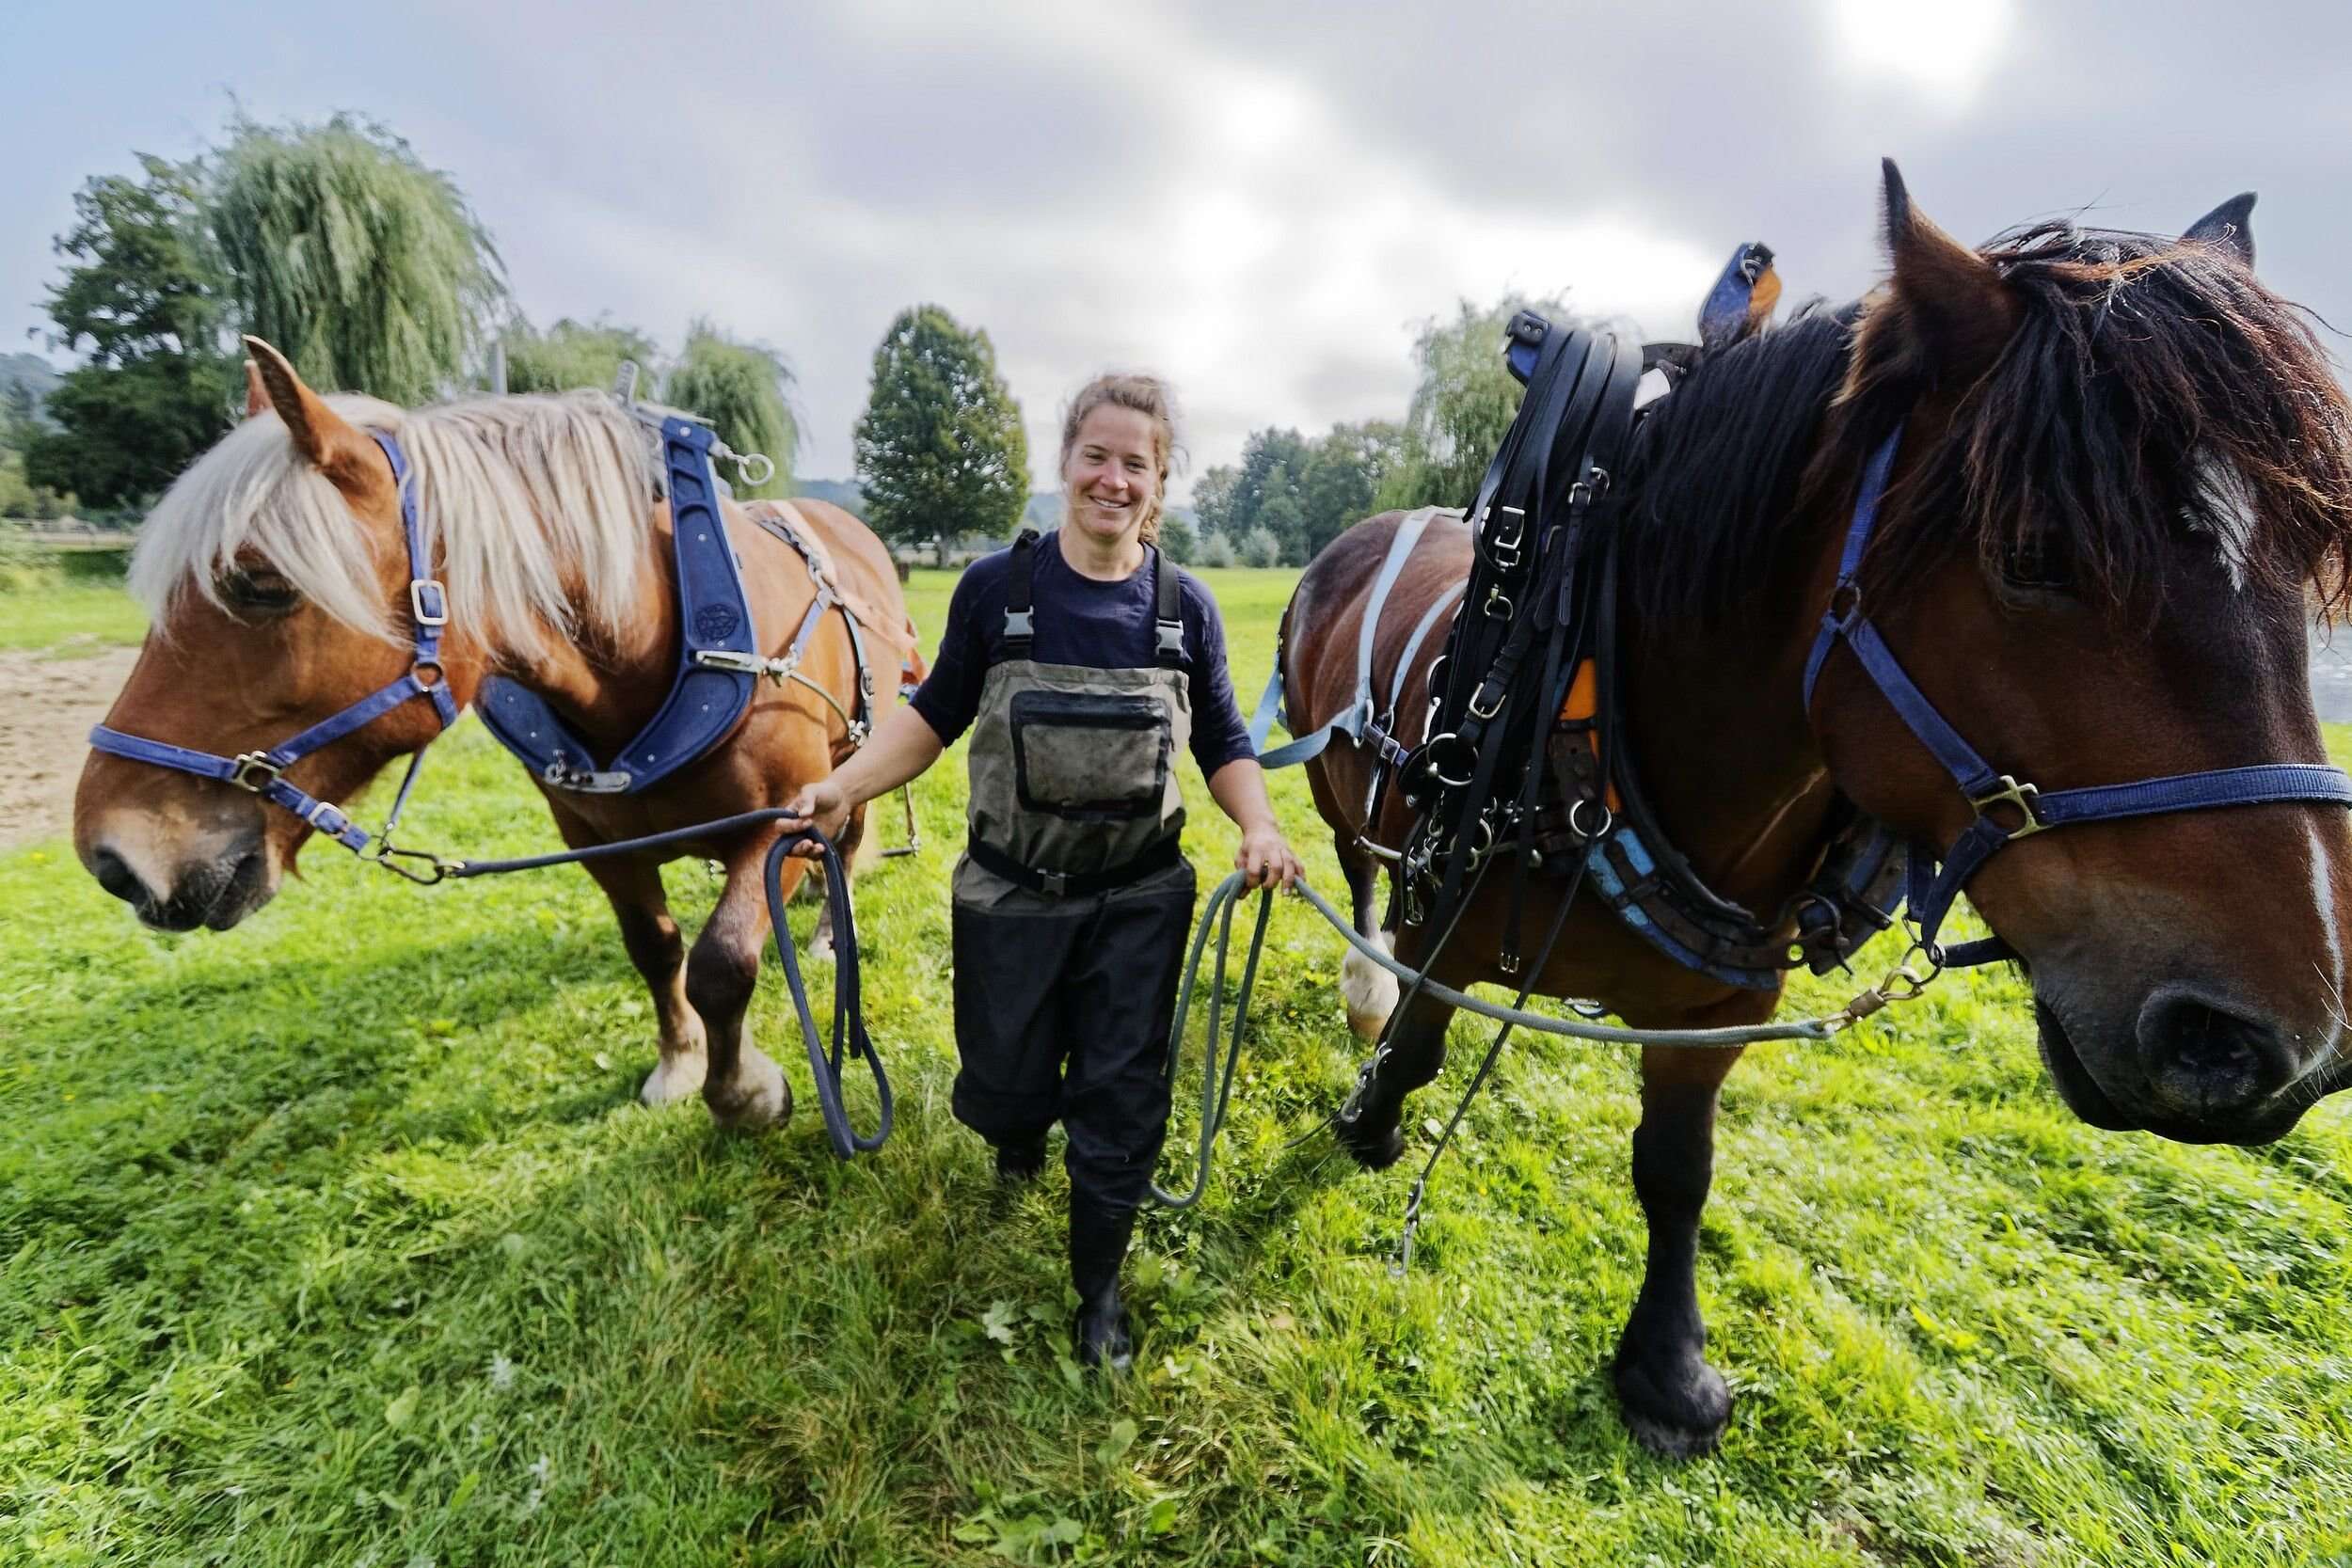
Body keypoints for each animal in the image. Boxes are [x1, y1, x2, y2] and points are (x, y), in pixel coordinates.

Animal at [73, 341, 917, 1128]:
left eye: (260, 585)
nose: (112, 857)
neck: (651, 652)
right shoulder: (592, 836)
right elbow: (655, 947)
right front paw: (680, 1062)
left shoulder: (782, 814)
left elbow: (724, 958)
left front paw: (744, 1089)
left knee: (848, 839)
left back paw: (825, 933)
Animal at [1279, 166, 2352, 1457]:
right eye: (2032, 555)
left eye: (2313, 561)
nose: (2270, 1043)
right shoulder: (1448, 914)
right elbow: (1422, 1039)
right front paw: (1371, 1111)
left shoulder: (1719, 1008)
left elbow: (1676, 1166)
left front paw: (1665, 1364)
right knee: (1356, 876)